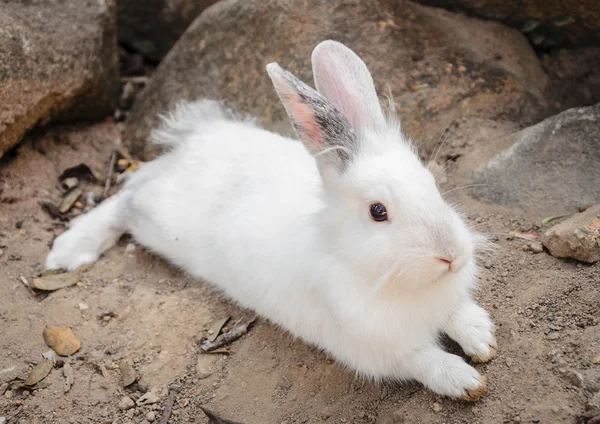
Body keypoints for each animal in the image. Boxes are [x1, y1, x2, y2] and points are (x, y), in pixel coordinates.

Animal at [45, 39, 496, 400]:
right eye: (378, 212)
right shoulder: (379, 350)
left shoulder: (444, 301)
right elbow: (424, 360)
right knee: (127, 194)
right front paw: (466, 382)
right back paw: (69, 249)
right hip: (153, 216)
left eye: (431, 182)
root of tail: (196, 137)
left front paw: (483, 338)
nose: (451, 255)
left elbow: (458, 313)